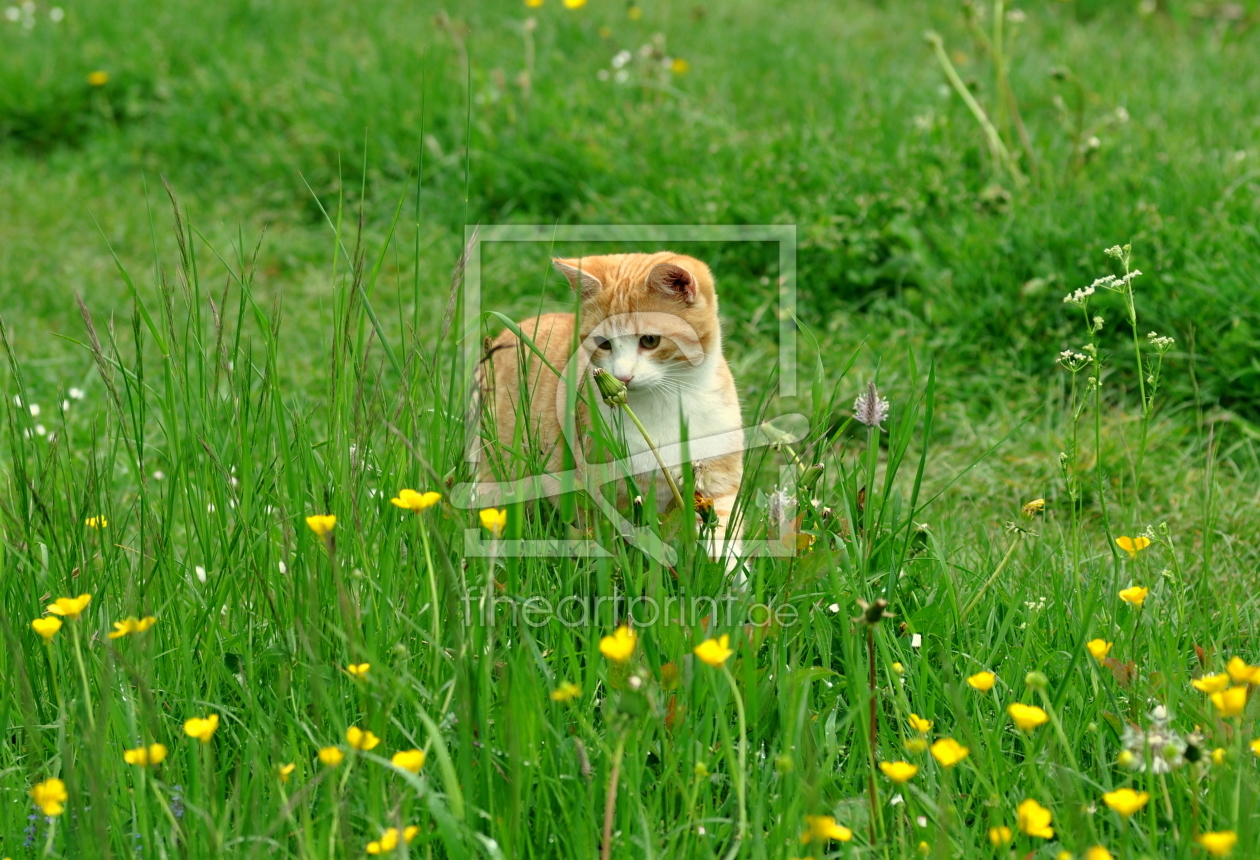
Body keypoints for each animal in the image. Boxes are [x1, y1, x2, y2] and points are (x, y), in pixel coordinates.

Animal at [476, 251, 740, 554]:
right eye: (603, 343)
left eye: (650, 340)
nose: (622, 377)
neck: (666, 400)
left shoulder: (716, 484)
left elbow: (720, 540)